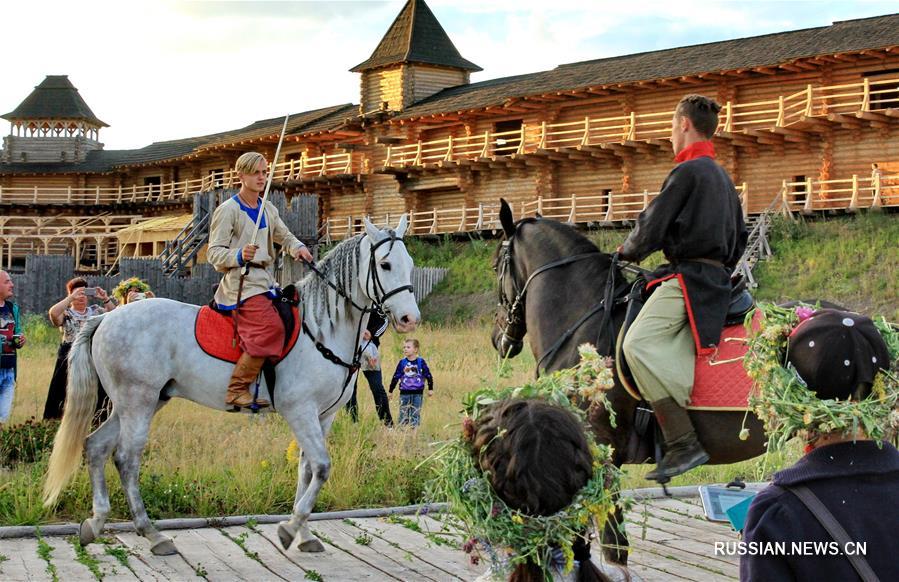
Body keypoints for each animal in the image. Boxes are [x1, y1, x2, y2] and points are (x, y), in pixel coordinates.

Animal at [43, 218, 422, 556]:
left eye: (410, 265)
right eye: (385, 264)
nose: (409, 319)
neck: (320, 328)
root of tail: (106, 316)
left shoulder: (322, 416)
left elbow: (307, 469)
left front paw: (303, 534)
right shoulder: (300, 411)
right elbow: (322, 465)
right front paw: (289, 530)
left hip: (135, 403)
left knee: (95, 447)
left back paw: (96, 523)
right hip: (138, 401)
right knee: (126, 458)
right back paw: (152, 534)